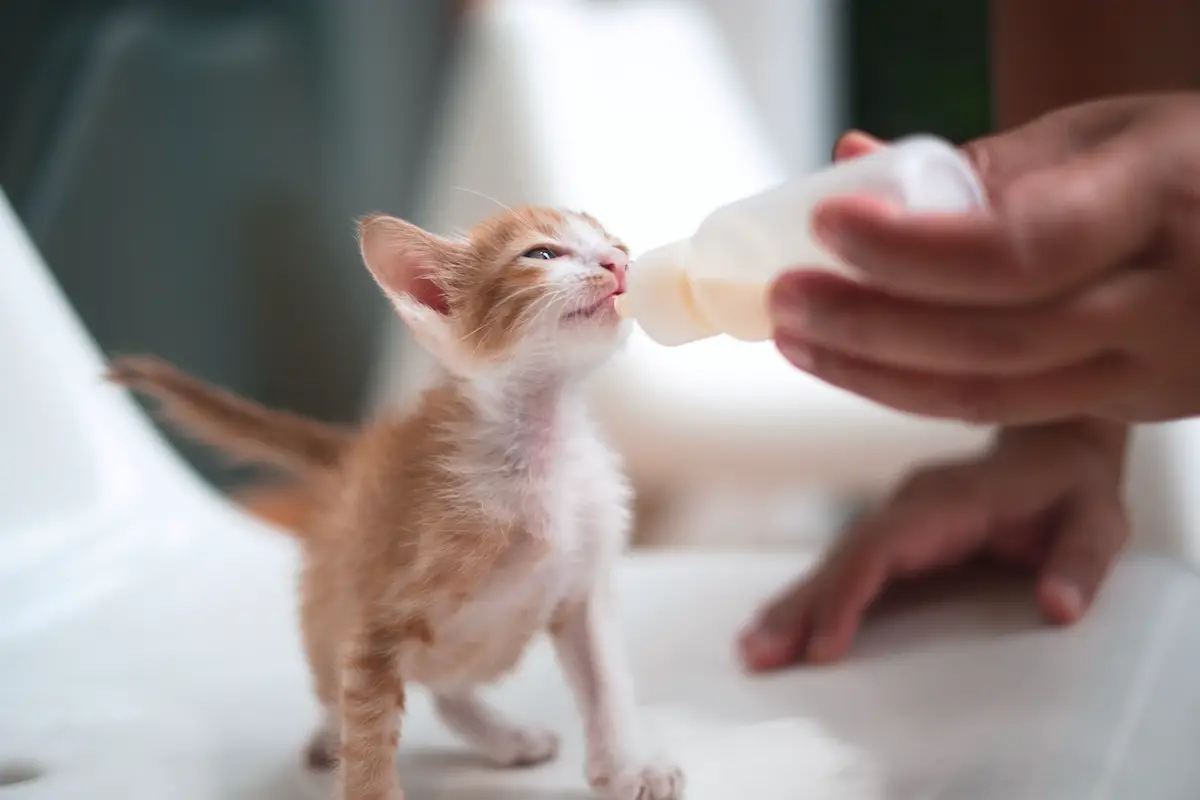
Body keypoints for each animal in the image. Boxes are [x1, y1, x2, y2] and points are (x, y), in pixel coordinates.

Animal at [108, 208, 691, 800]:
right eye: (542, 254)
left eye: (617, 244)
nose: (619, 262)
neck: (538, 451)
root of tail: (354, 453)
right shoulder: (378, 622)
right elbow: (368, 733)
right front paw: (364, 772)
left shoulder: (582, 584)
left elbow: (607, 682)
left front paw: (627, 768)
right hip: (335, 600)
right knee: (343, 685)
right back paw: (333, 736)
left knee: (448, 689)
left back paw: (504, 738)